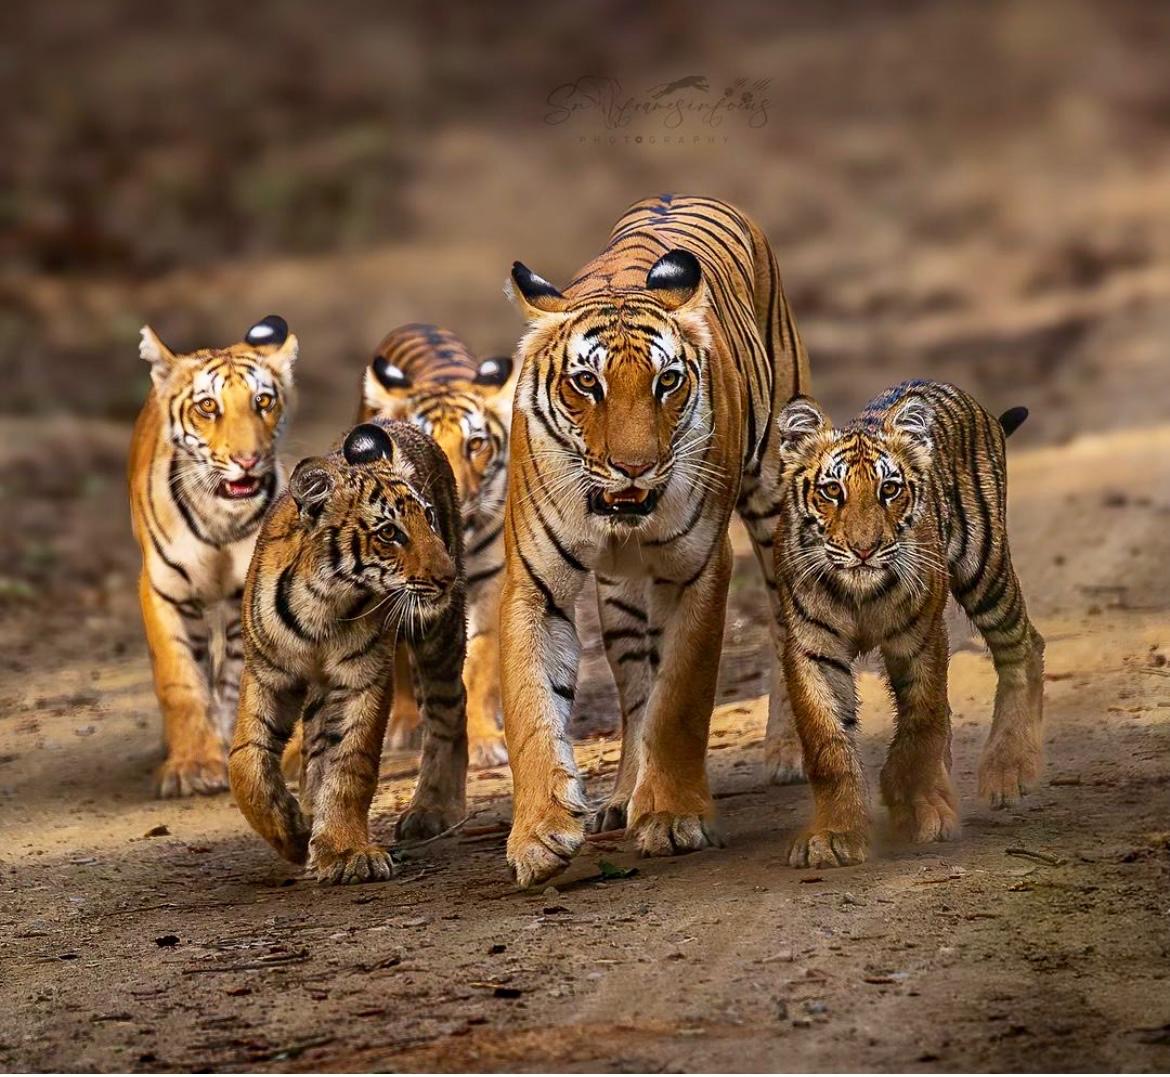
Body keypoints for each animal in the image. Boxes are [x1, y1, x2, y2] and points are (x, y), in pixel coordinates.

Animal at [129, 314, 297, 798]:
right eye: (207, 407)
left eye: (263, 401)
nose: (248, 459)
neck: (223, 518)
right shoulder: (162, 591)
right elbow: (180, 681)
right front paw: (191, 765)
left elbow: (246, 678)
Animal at [228, 419, 468, 884]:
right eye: (389, 533)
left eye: (427, 517)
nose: (448, 576)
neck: (324, 604)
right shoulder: (268, 674)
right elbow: (246, 761)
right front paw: (290, 832)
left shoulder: (363, 680)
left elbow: (350, 765)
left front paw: (344, 851)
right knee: (311, 748)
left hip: (437, 635)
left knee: (449, 707)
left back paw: (431, 809)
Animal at [359, 323, 515, 768]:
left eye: (475, 444)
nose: (454, 496)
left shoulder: (489, 584)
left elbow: (479, 665)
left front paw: (484, 740)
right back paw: (405, 723)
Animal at [499, 193, 811, 888]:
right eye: (586, 384)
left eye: (667, 381)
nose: (634, 467)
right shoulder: (534, 586)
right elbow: (532, 707)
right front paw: (539, 837)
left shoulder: (699, 570)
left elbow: (678, 701)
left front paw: (671, 818)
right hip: (618, 598)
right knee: (632, 686)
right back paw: (621, 797)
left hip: (774, 494)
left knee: (786, 624)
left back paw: (787, 753)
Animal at [772, 380, 1044, 869]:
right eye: (832, 491)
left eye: (890, 489)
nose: (863, 549)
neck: (858, 594)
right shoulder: (813, 648)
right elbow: (828, 744)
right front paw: (833, 834)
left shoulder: (920, 638)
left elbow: (921, 723)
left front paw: (918, 809)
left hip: (985, 566)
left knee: (1024, 646)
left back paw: (1009, 769)